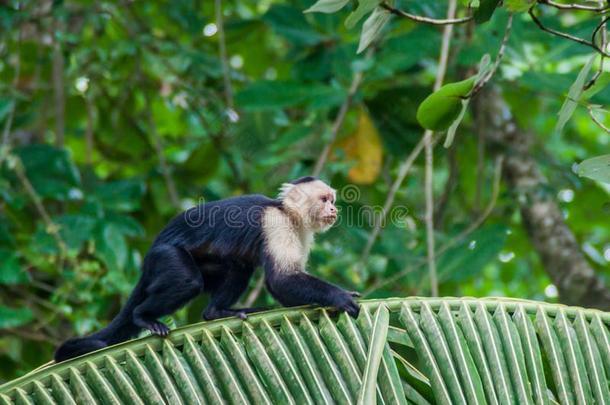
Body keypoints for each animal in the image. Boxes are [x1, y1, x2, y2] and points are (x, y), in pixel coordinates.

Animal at [54, 178, 358, 362]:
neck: (288, 213)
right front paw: (340, 297)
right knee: (187, 280)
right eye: (324, 199)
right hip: (165, 256)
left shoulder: (303, 233)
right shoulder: (277, 224)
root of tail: (151, 252)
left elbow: (285, 283)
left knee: (238, 267)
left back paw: (217, 312)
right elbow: (281, 280)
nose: (334, 209)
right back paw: (144, 316)